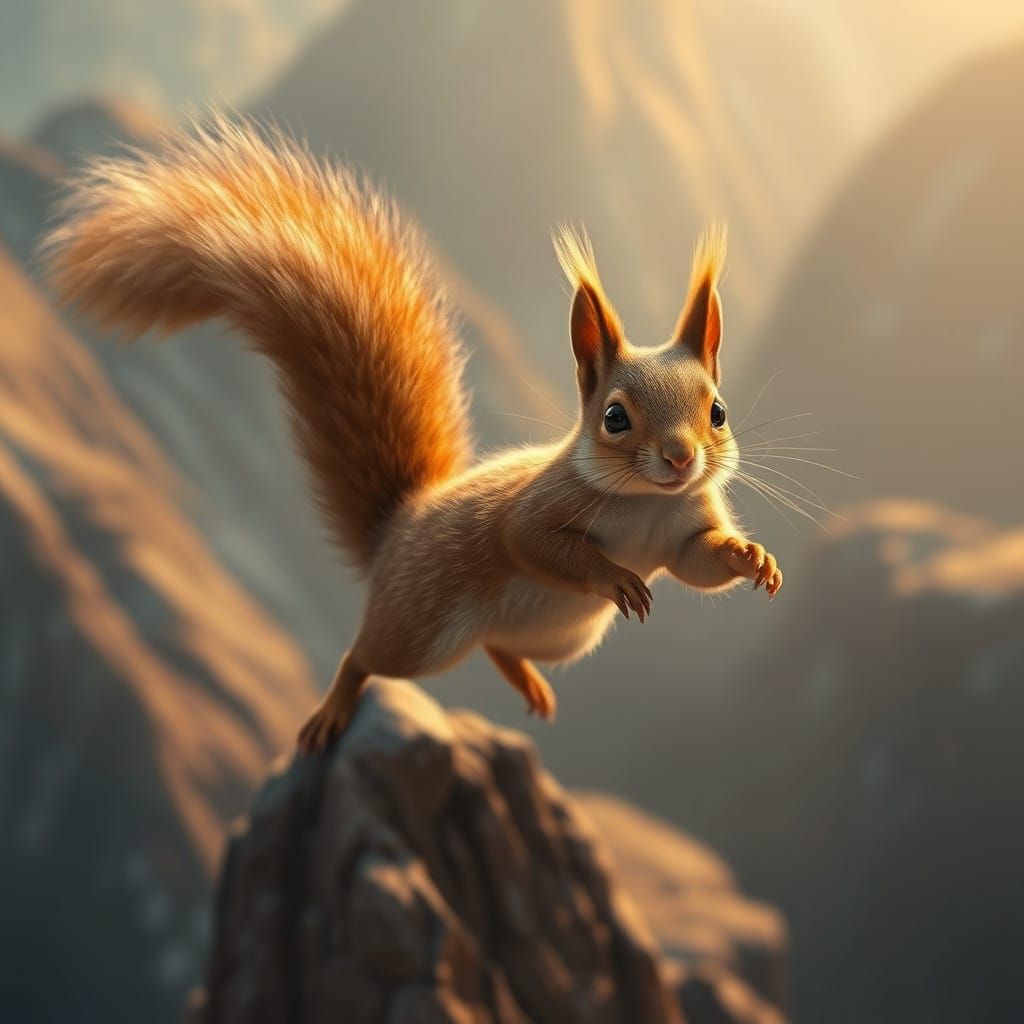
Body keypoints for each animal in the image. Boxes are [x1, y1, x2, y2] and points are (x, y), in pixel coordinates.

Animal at [44, 115, 782, 755]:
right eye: (615, 417)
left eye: (717, 411)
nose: (681, 457)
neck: (647, 504)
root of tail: (396, 531)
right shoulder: (541, 507)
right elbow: (532, 542)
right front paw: (615, 575)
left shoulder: (682, 525)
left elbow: (696, 561)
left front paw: (753, 558)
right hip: (419, 629)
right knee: (363, 656)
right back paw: (334, 709)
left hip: (562, 636)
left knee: (499, 645)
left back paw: (527, 681)